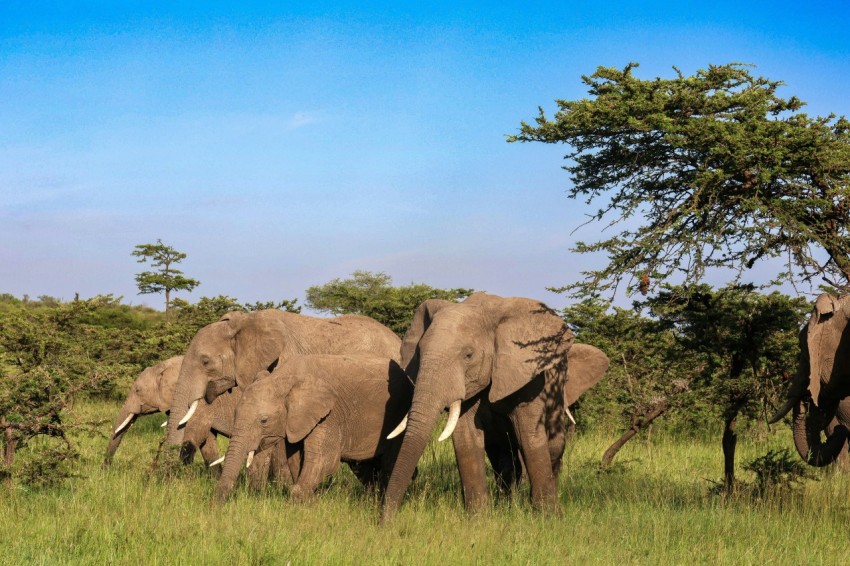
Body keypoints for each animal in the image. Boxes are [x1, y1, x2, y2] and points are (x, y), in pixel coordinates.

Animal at [105, 355, 240, 469]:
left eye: (138, 390)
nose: (106, 468)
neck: (164, 366)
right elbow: (207, 442)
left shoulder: (201, 401)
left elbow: (194, 434)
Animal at [215, 354, 413, 502]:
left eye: (264, 420)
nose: (217, 506)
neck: (284, 377)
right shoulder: (295, 420)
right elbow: (295, 459)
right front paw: (311, 502)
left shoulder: (329, 414)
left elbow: (324, 460)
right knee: (364, 467)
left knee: (388, 463)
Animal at [381, 292, 575, 520]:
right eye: (419, 354)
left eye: (468, 355)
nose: (385, 522)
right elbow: (466, 437)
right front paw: (478, 518)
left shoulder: (528, 375)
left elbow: (530, 436)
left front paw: (548, 517)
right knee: (503, 457)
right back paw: (507, 505)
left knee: (553, 446)